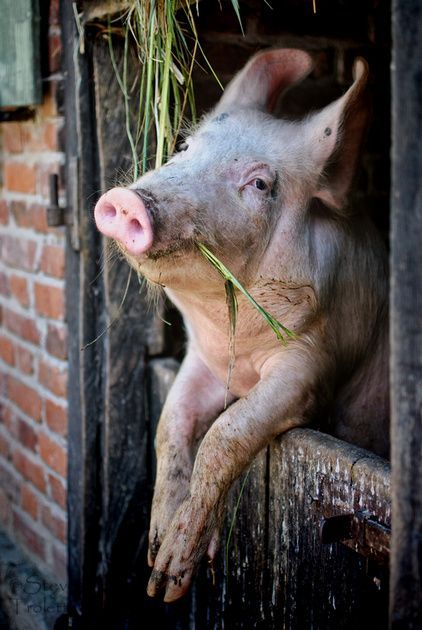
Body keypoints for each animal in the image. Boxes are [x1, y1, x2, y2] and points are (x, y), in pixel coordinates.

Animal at [93, 48, 390, 604]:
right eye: (184, 146)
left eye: (260, 184)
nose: (126, 201)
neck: (235, 346)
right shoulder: (200, 360)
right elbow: (171, 423)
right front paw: (156, 554)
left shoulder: (312, 367)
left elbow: (227, 433)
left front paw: (168, 581)